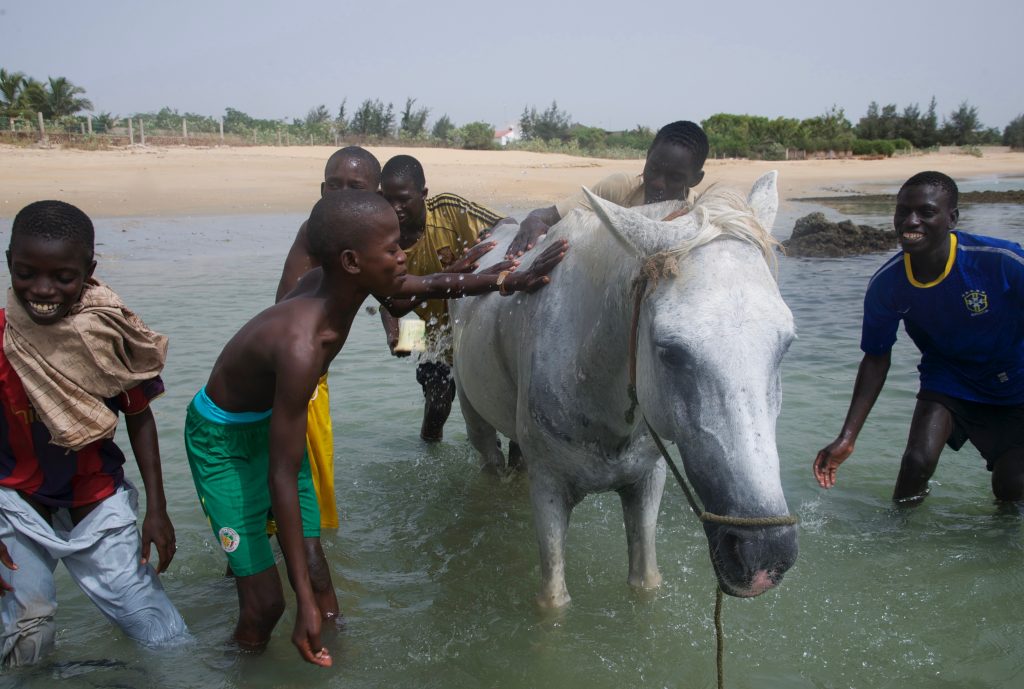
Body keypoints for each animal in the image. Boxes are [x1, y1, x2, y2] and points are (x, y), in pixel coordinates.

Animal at [454, 173, 798, 606]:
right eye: (669, 352)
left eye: (786, 344)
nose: (763, 553)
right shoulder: (549, 491)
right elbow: (553, 599)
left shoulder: (647, 483)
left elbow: (645, 582)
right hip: (474, 419)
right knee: (490, 460)